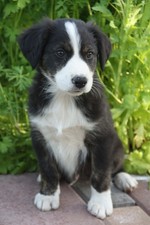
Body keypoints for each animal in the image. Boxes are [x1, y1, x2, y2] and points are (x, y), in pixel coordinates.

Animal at [18, 18, 138, 219]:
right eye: (60, 53)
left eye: (90, 54)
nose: (80, 81)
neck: (64, 99)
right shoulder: (40, 135)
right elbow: (48, 168)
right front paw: (48, 195)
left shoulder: (102, 138)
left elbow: (101, 173)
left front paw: (100, 203)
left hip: (117, 143)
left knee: (116, 166)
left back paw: (125, 178)